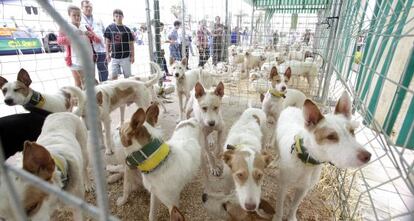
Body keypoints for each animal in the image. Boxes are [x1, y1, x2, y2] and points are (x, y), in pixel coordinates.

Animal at [274, 92, 372, 220]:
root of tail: (293, 108)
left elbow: (294, 207)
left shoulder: (303, 189)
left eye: (352, 131)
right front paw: (277, 217)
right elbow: (279, 207)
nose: (367, 156)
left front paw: (291, 218)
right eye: (331, 137)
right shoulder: (283, 186)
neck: (306, 161)